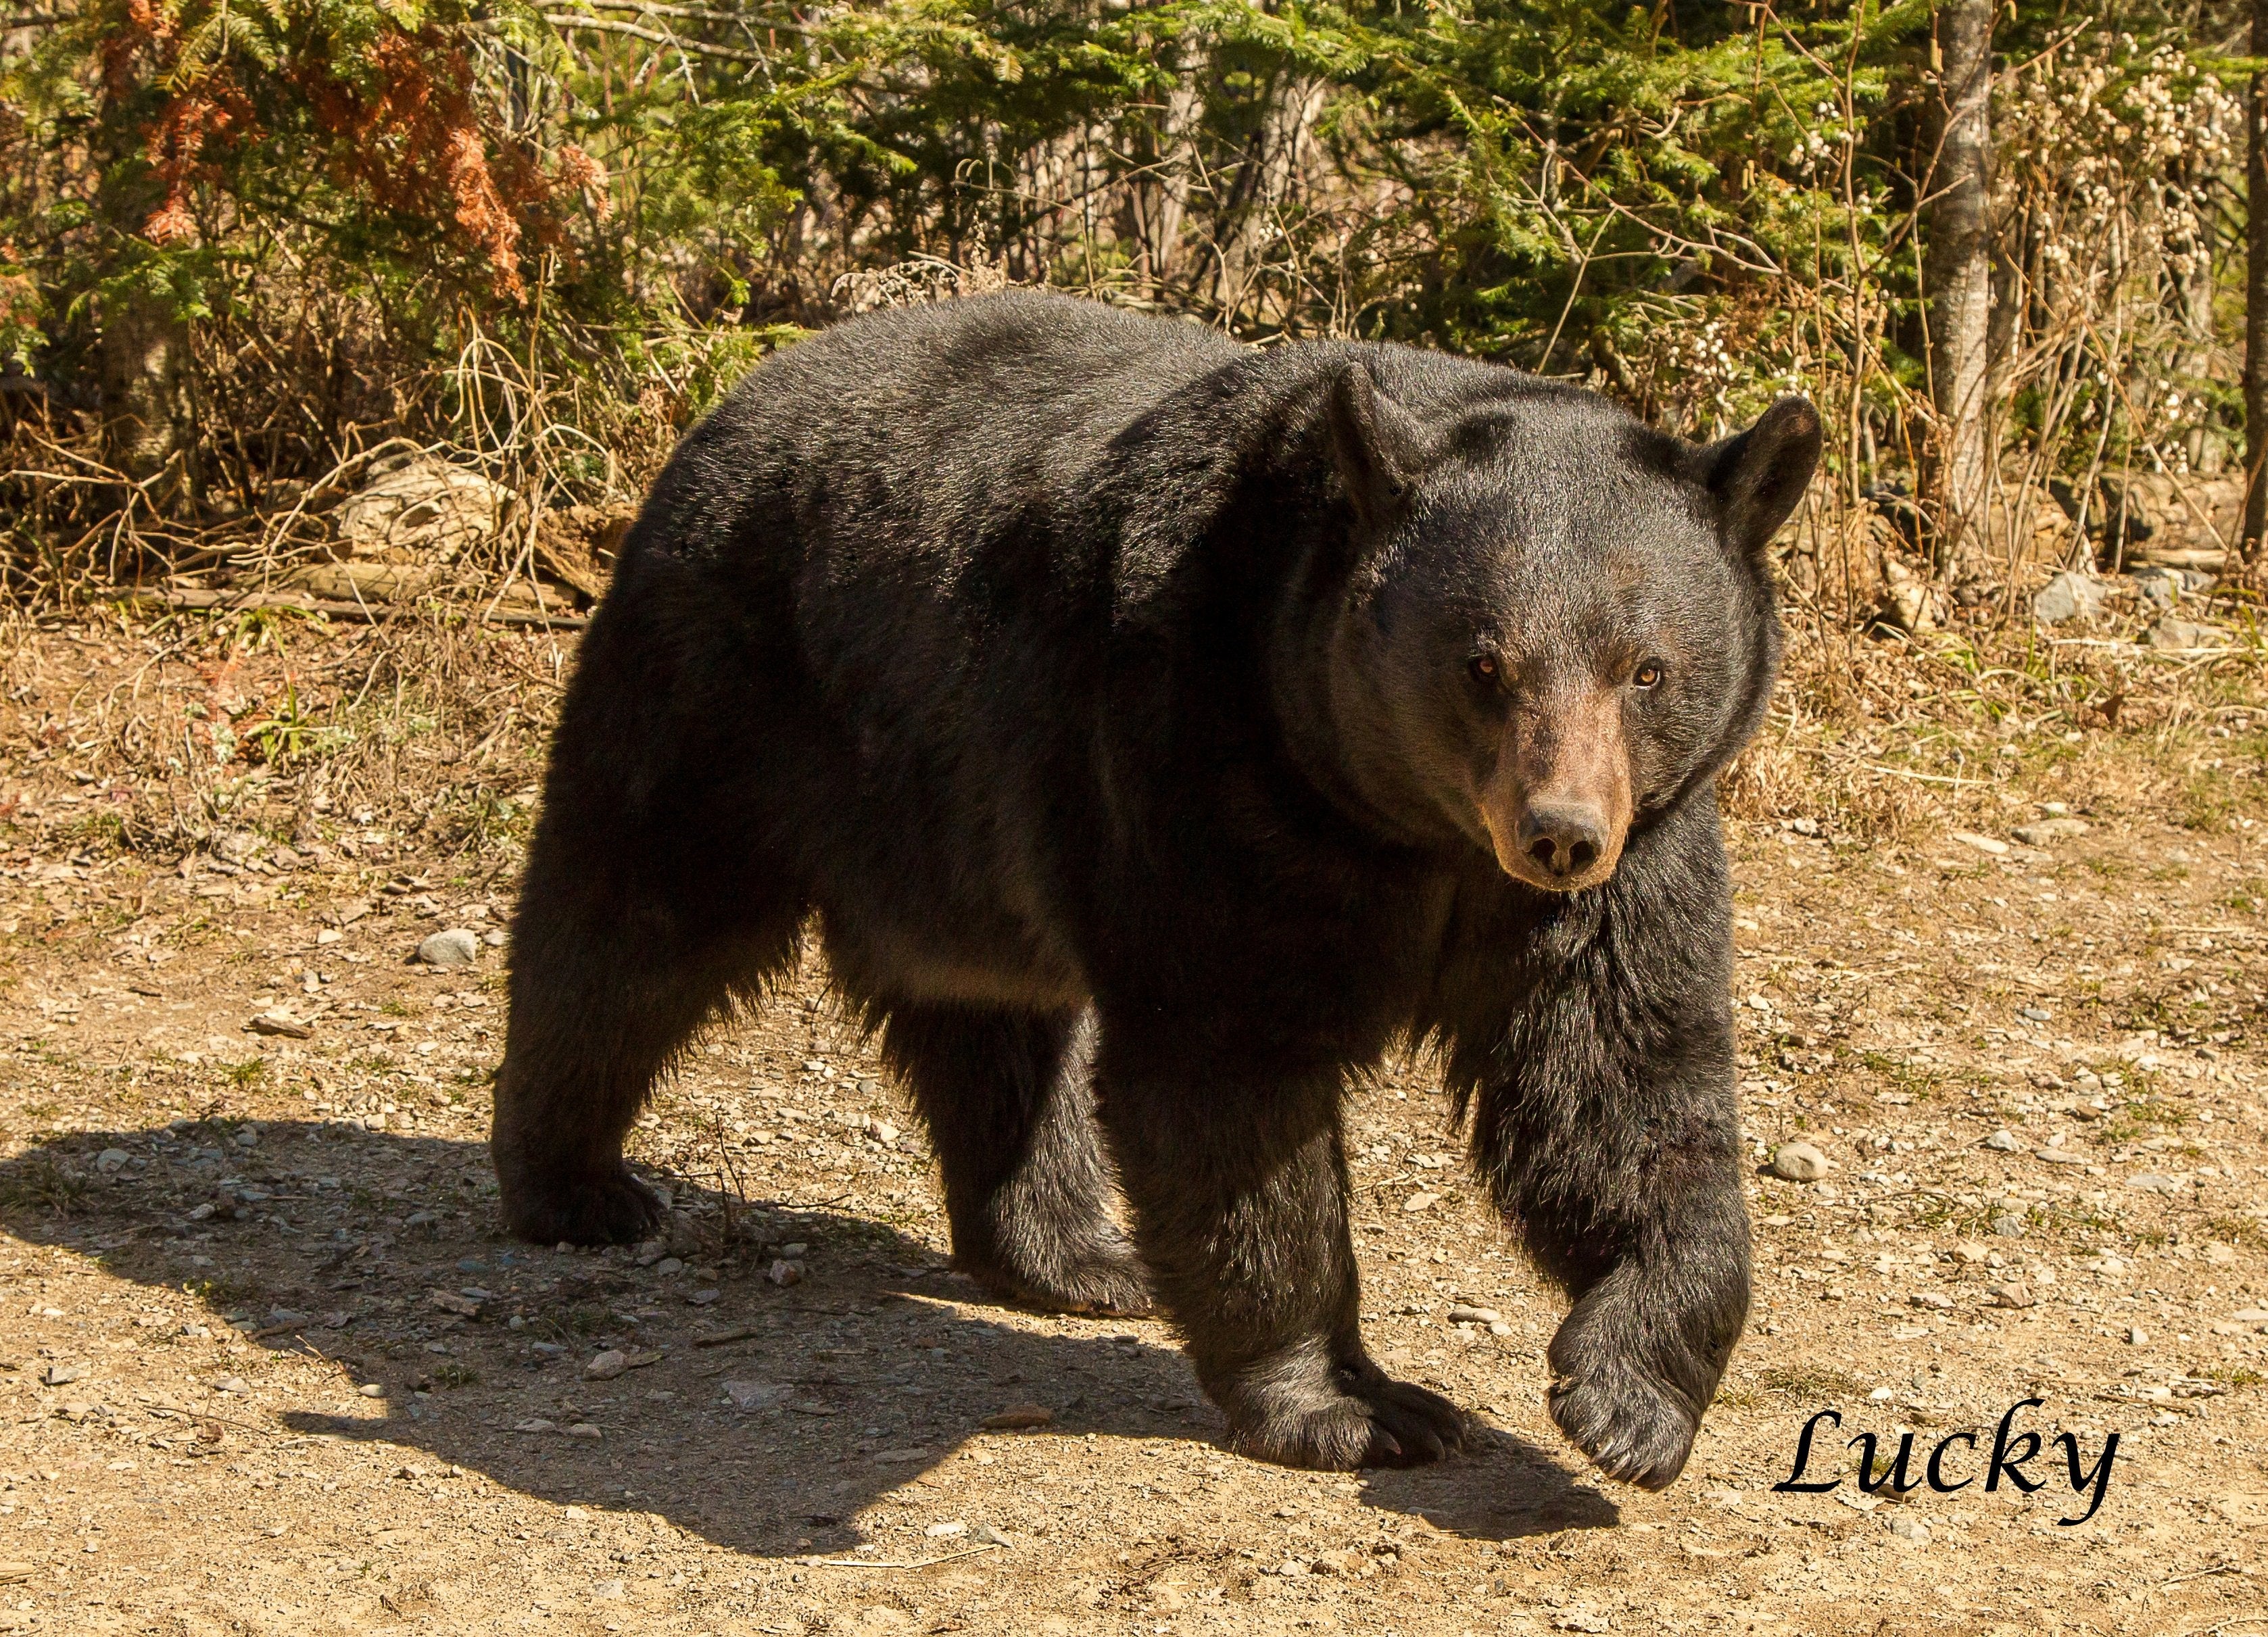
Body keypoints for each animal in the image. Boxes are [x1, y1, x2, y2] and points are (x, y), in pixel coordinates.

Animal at [492, 289, 1820, 1489]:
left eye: (1645, 667)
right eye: (1483, 663)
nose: (1558, 833)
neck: (1411, 826)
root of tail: (738, 398)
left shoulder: (1626, 863)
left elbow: (1617, 1078)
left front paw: (1628, 1394)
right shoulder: (1205, 753)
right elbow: (1228, 1070)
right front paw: (1357, 1404)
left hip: (950, 821)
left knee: (996, 1022)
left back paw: (1070, 1253)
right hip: (725, 683)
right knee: (630, 919)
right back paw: (575, 1182)